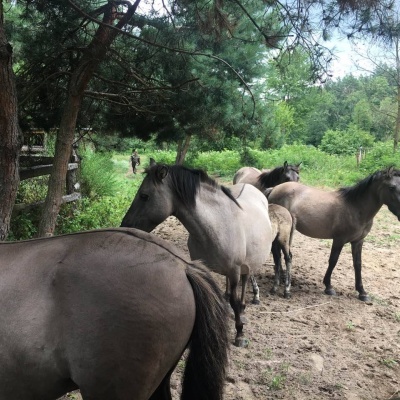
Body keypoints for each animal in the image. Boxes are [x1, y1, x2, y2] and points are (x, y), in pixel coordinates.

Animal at [121, 159, 273, 347]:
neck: (219, 225)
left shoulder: (234, 270)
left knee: (245, 281)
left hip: (245, 266)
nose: (125, 224)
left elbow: (235, 301)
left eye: (144, 196)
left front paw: (239, 334)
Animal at [267, 167, 400, 301]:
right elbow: (333, 261)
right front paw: (328, 286)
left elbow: (358, 264)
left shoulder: (358, 241)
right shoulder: (339, 240)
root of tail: (274, 188)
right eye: (391, 187)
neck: (355, 208)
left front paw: (362, 292)